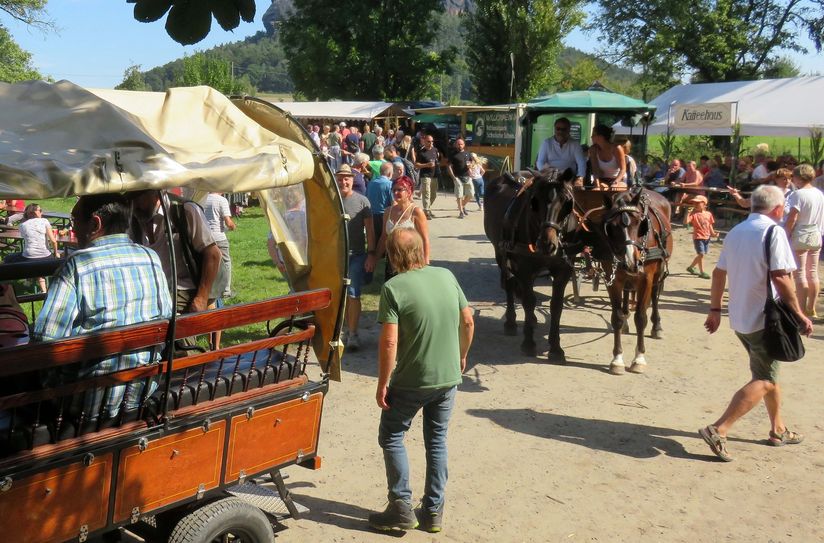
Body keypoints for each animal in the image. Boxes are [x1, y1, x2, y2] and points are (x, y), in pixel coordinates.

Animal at [486, 167, 576, 362]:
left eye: (567, 201)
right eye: (535, 201)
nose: (547, 243)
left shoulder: (563, 271)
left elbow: (556, 305)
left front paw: (555, 347)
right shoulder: (525, 268)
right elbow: (528, 301)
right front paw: (528, 343)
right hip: (500, 252)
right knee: (509, 284)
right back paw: (511, 322)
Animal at [576, 187, 672, 374]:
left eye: (640, 224)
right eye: (611, 227)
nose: (631, 261)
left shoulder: (645, 279)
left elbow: (640, 317)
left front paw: (639, 359)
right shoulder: (612, 278)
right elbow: (616, 317)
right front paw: (617, 359)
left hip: (658, 272)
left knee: (655, 295)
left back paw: (657, 327)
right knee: (627, 295)